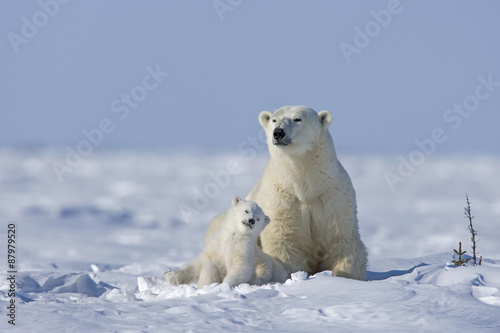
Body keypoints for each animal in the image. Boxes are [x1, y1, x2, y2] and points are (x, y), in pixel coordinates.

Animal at [203, 105, 368, 278]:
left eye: (297, 119)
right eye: (274, 120)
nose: (278, 133)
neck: (304, 185)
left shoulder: (333, 196)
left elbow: (339, 238)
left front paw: (344, 275)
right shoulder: (281, 198)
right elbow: (285, 240)